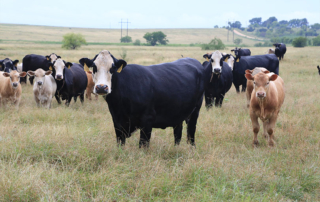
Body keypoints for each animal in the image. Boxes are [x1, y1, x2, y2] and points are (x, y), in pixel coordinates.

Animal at [79, 49, 211, 148]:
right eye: (94, 67)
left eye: (112, 68)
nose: (102, 87)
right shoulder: (117, 120)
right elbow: (120, 143)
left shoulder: (147, 120)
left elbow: (143, 145)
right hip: (178, 113)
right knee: (178, 132)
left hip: (195, 111)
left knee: (191, 133)